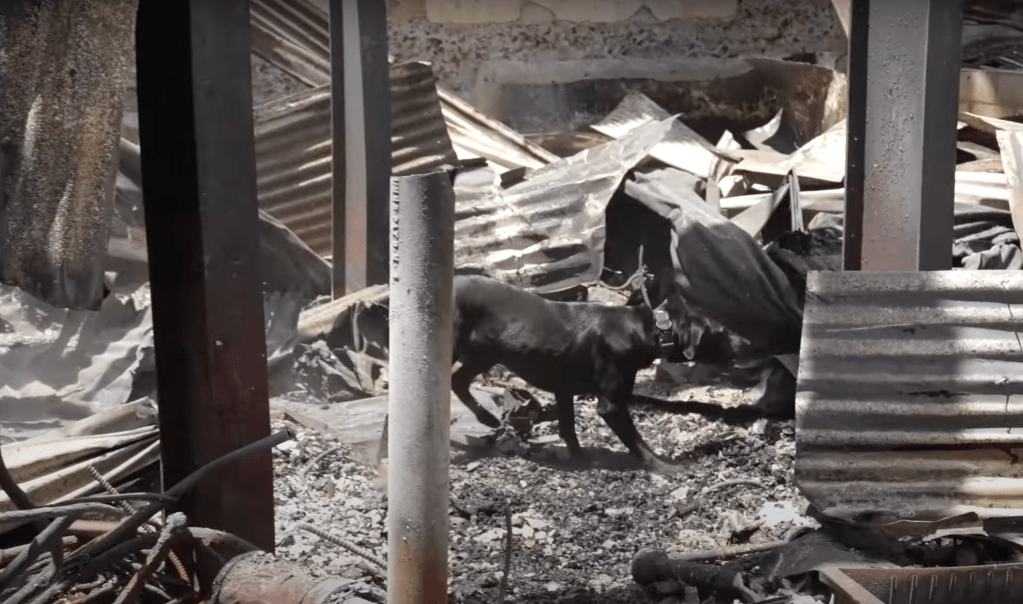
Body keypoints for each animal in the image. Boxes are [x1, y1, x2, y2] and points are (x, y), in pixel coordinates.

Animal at [450, 276, 679, 475]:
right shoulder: (611, 406)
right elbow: (637, 441)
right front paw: (663, 466)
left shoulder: (564, 390)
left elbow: (568, 428)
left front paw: (581, 460)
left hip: (483, 354)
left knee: (458, 381)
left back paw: (487, 418)